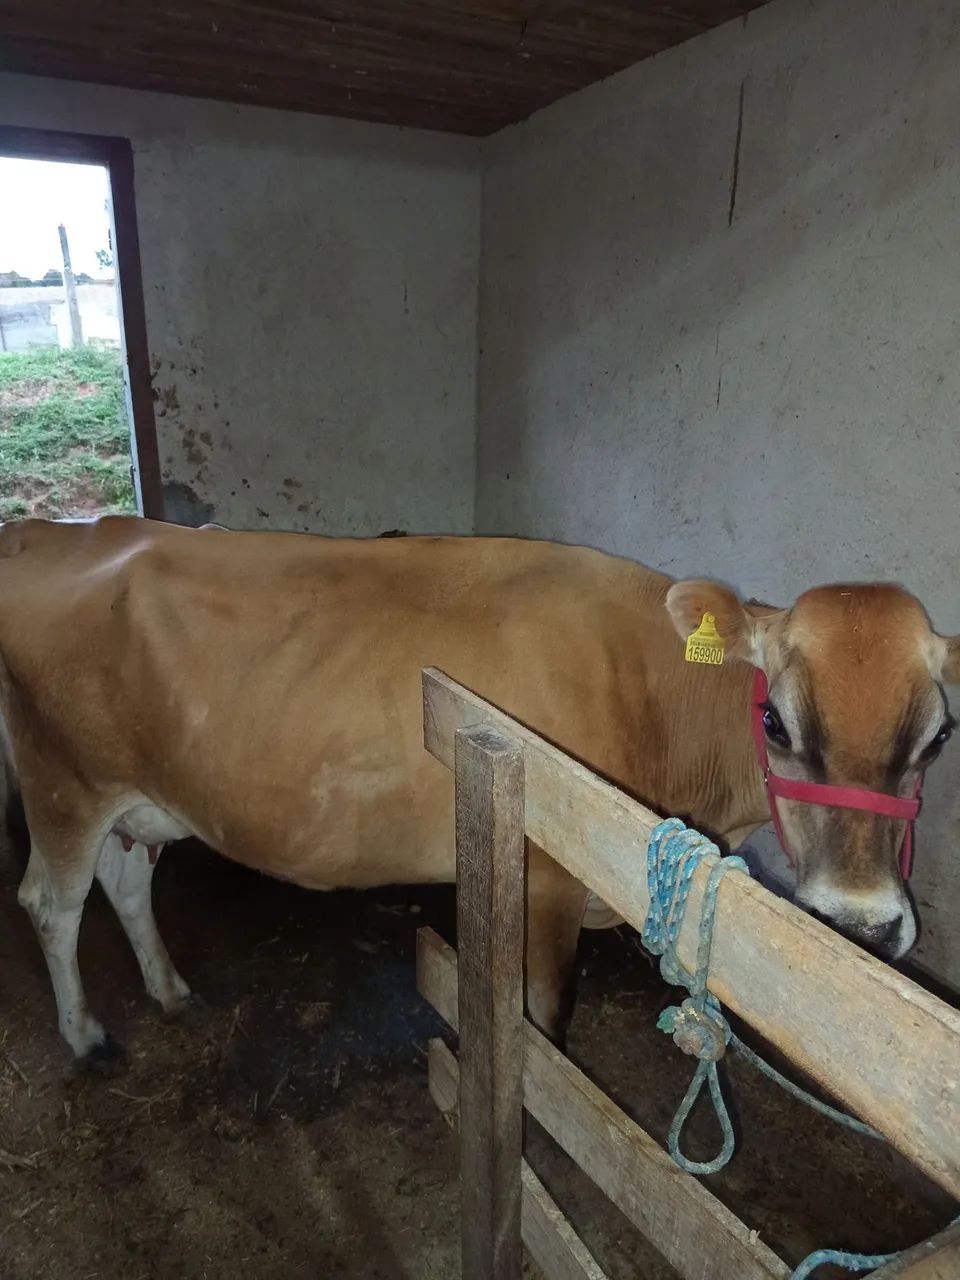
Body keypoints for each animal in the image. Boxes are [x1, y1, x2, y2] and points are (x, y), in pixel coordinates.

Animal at [0, 515, 956, 1072]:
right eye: (776, 724)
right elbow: (546, 1017)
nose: (864, 925)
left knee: (125, 883)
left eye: (939, 736)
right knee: (51, 902)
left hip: (137, 800)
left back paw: (168, 988)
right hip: (62, 786)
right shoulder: (550, 878)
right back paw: (85, 1036)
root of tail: (53, 527)